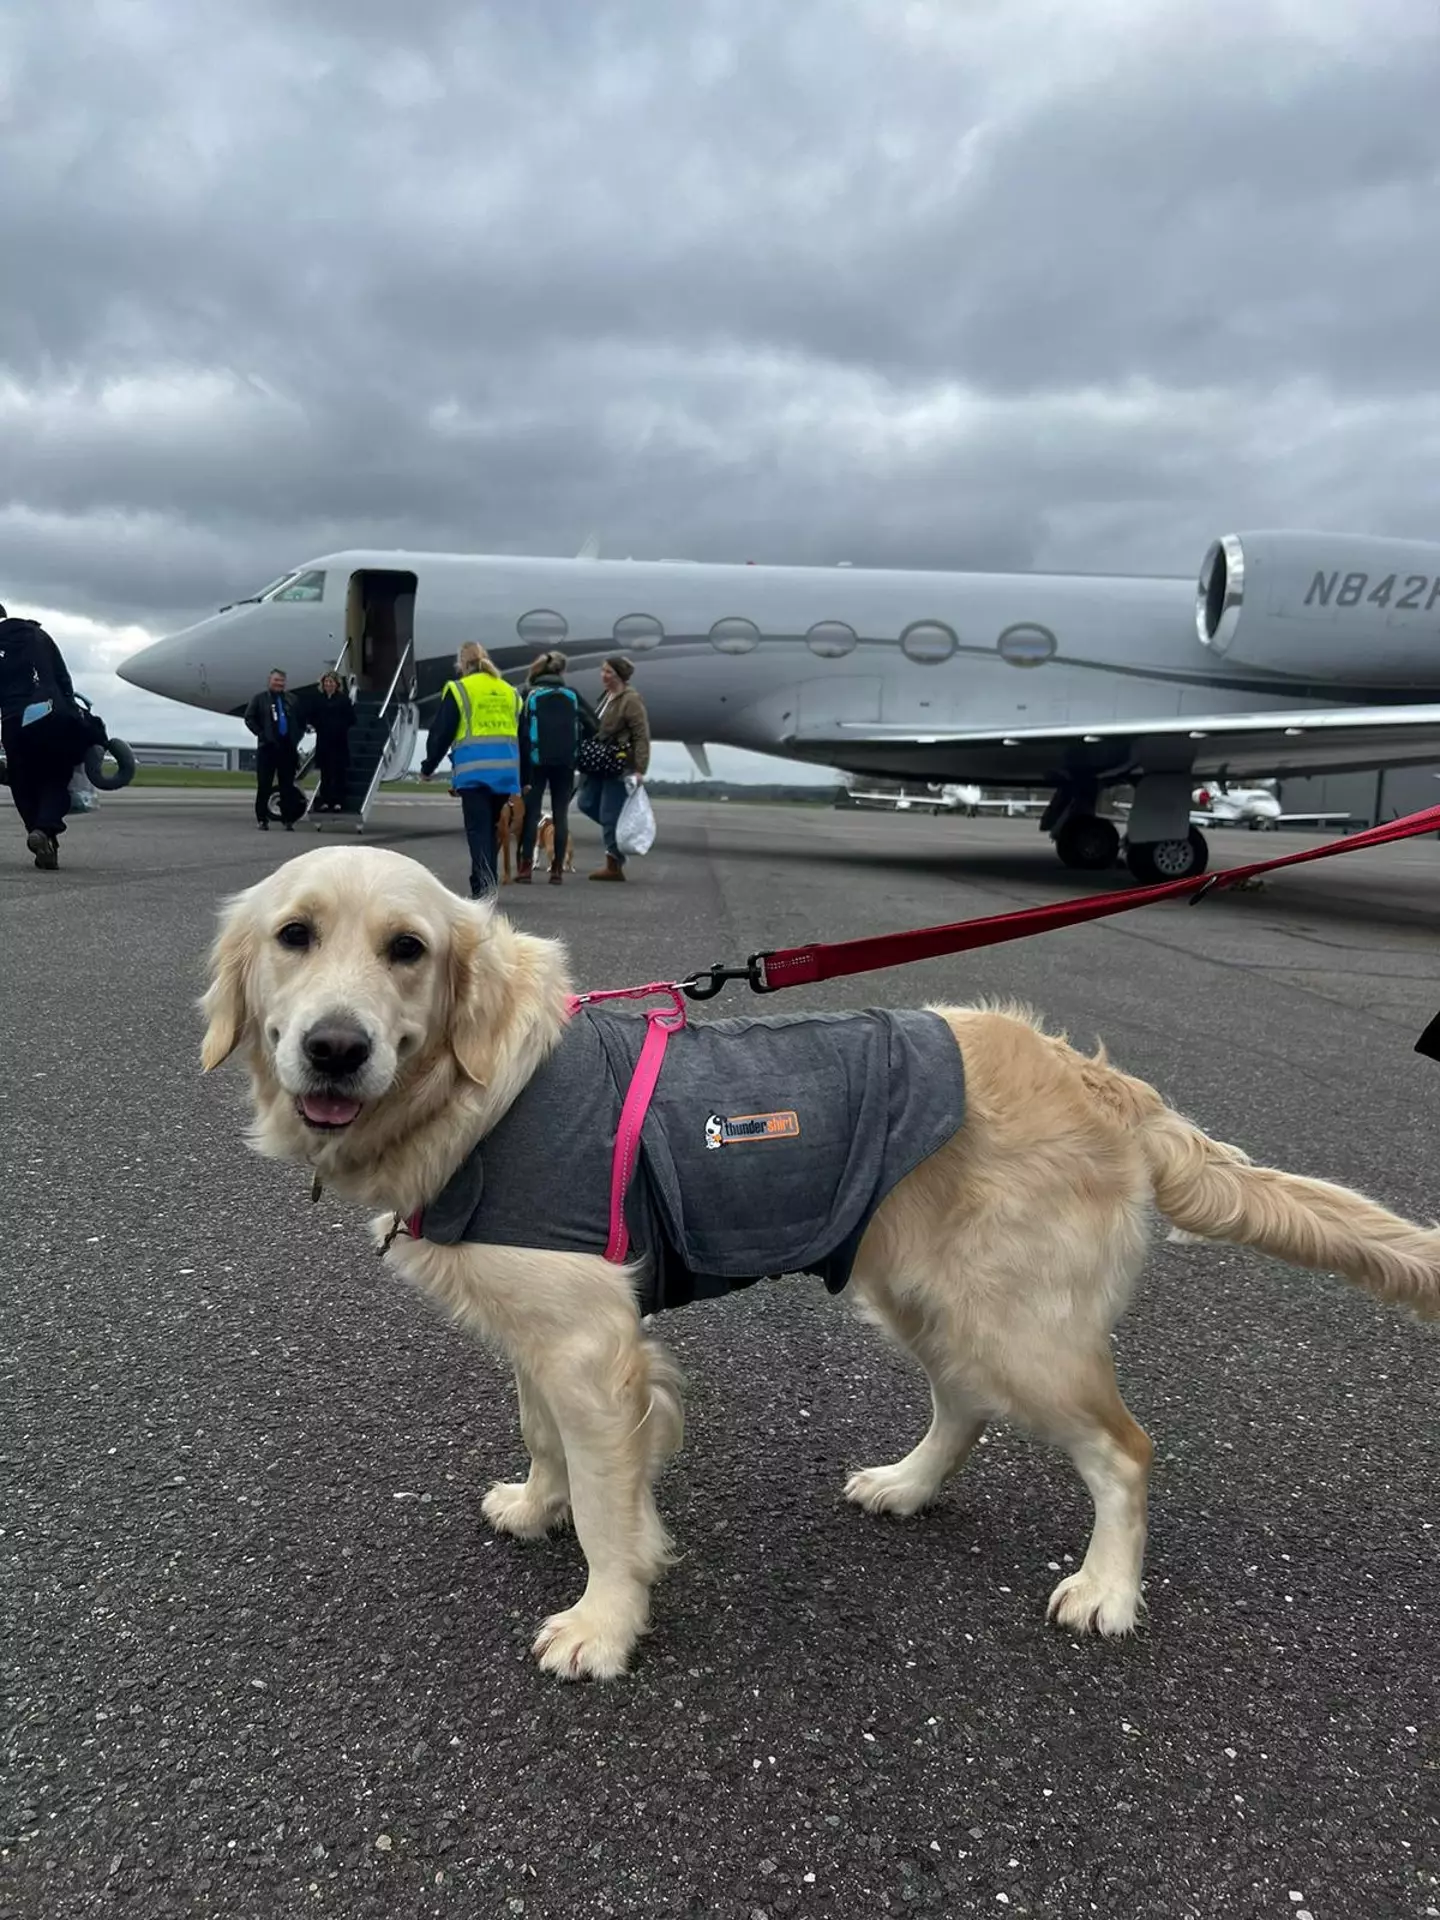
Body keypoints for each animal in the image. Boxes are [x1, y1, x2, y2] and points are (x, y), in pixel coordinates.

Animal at [200, 848, 1440, 1674]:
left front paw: (604, 1621)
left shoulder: (594, 1345)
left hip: (1018, 1325)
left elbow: (609, 1501)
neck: (477, 1098)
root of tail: (1105, 1082)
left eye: (407, 950)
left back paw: (1105, 1590)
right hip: (919, 1291)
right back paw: (906, 1486)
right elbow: (544, 1439)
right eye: (294, 937)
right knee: (963, 1407)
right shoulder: (539, 1332)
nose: (337, 1048)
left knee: (1124, 1452)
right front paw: (536, 1506)